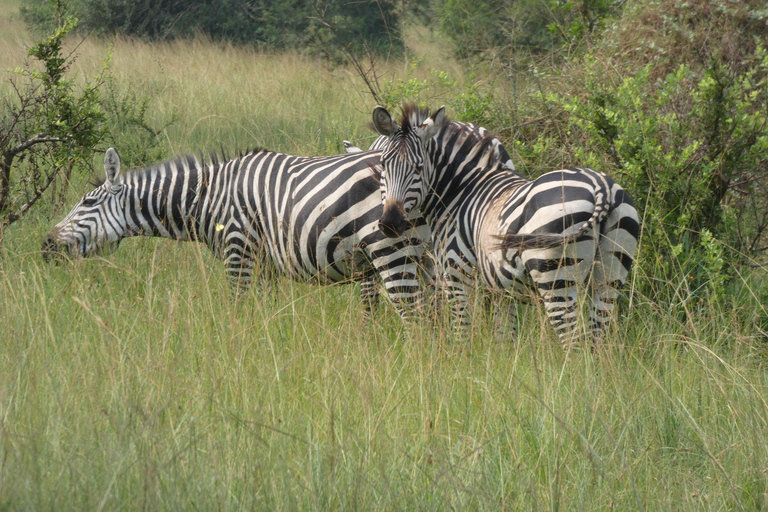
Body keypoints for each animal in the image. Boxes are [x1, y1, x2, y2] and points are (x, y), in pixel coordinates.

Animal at [42, 146, 428, 318]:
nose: (45, 246)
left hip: (390, 252)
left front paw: (236, 346)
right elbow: (266, 309)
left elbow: (237, 307)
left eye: (88, 202)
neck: (207, 198)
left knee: (414, 318)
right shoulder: (265, 261)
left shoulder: (237, 248)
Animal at [368, 104, 640, 342]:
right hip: (610, 274)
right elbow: (503, 335)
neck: (461, 190)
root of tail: (600, 186)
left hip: (555, 277)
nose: (389, 223)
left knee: (572, 341)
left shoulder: (456, 273)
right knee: (597, 337)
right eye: (383, 164)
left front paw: (459, 362)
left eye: (418, 167)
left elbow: (461, 332)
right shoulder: (500, 288)